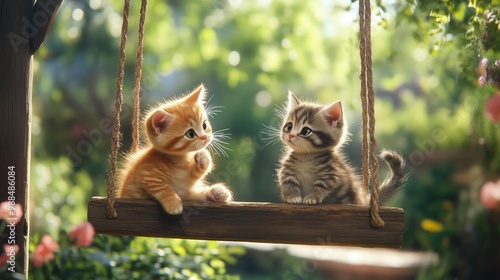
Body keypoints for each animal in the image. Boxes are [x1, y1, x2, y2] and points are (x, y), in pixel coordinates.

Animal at [116, 85, 233, 214]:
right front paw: (172, 203)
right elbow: (162, 188)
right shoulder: (147, 174)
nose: (205, 137)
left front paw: (203, 158)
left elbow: (196, 173)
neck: (179, 162)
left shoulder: (188, 179)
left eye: (204, 125)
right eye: (190, 134)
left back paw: (218, 192)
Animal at [278, 91, 406, 205]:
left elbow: (322, 184)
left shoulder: (333, 173)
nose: (290, 135)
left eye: (305, 131)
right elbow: (288, 181)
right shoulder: (286, 170)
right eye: (289, 126)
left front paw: (312, 197)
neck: (306, 157)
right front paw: (292, 196)